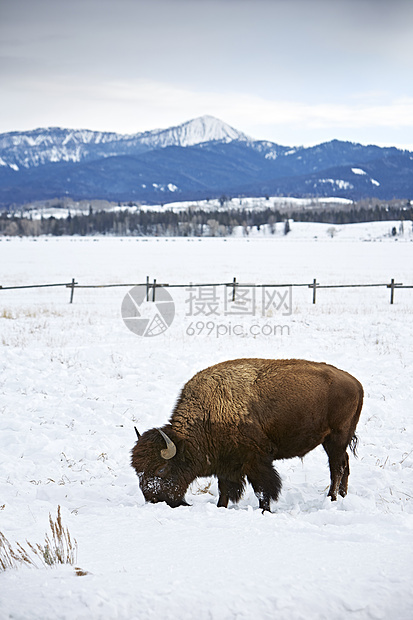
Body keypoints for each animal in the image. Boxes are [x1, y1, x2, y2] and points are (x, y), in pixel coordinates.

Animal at [130, 356, 362, 512]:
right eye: (138, 472)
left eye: (161, 469)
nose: (153, 500)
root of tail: (355, 383)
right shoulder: (226, 463)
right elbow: (224, 489)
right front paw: (220, 507)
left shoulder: (256, 461)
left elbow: (262, 489)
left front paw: (264, 510)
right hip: (334, 441)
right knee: (344, 464)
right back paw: (342, 496)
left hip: (336, 438)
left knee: (337, 468)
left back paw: (332, 499)